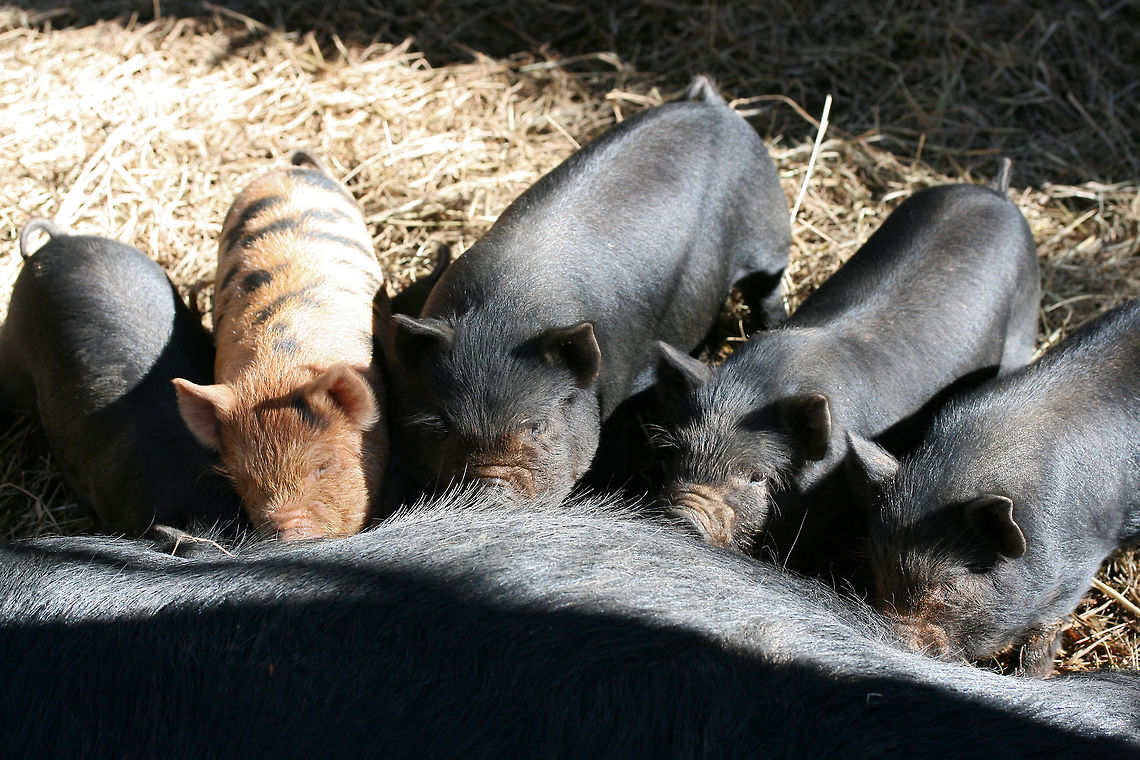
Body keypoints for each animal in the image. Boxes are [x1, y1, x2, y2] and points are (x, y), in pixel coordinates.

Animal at [384, 75, 791, 502]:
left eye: (537, 426)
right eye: (443, 424)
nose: (488, 494)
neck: (503, 312)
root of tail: (710, 103)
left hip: (768, 239)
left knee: (767, 290)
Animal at [848, 299, 1140, 675]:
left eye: (949, 586)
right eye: (878, 568)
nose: (896, 640)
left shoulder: (1077, 569)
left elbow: (1043, 635)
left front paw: (1032, 676)